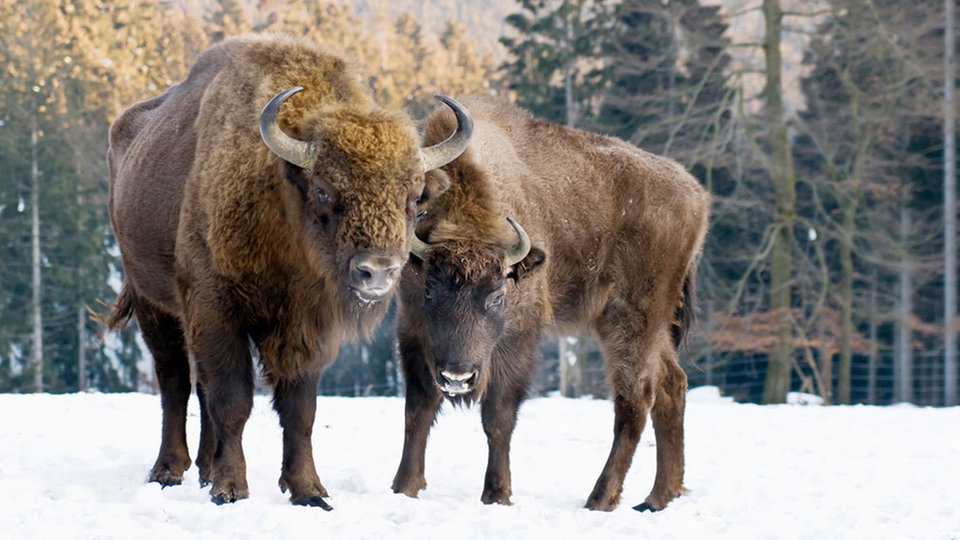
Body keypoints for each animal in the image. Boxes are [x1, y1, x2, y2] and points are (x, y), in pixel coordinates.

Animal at [106, 32, 472, 506]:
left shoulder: (307, 327)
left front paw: (309, 492)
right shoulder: (216, 309)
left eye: (415, 198)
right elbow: (233, 399)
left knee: (198, 387)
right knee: (175, 381)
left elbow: (299, 409)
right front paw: (231, 489)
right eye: (323, 190)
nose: (377, 272)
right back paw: (168, 471)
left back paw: (205, 470)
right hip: (153, 302)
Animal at [386, 95, 708, 512]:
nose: (458, 376)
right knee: (672, 386)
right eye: (429, 290)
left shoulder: (518, 338)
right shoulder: (413, 330)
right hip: (650, 326)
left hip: (633, 319)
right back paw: (657, 498)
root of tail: (695, 193)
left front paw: (496, 494)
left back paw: (600, 499)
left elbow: (498, 417)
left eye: (498, 296)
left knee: (635, 398)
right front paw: (404, 487)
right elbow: (418, 409)